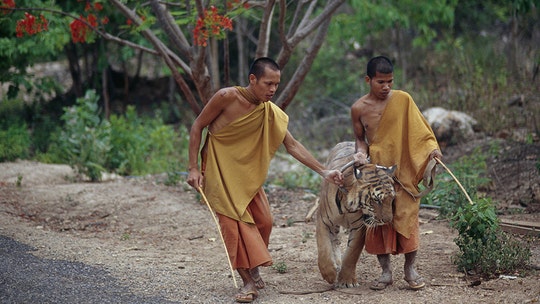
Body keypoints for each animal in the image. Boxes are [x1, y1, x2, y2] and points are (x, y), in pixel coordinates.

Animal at [316, 141, 396, 288]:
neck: (348, 205)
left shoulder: (359, 228)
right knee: (334, 240)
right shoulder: (322, 221)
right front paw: (329, 275)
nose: (388, 220)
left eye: (392, 199)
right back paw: (336, 264)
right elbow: (324, 248)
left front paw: (347, 281)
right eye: (377, 200)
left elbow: (351, 254)